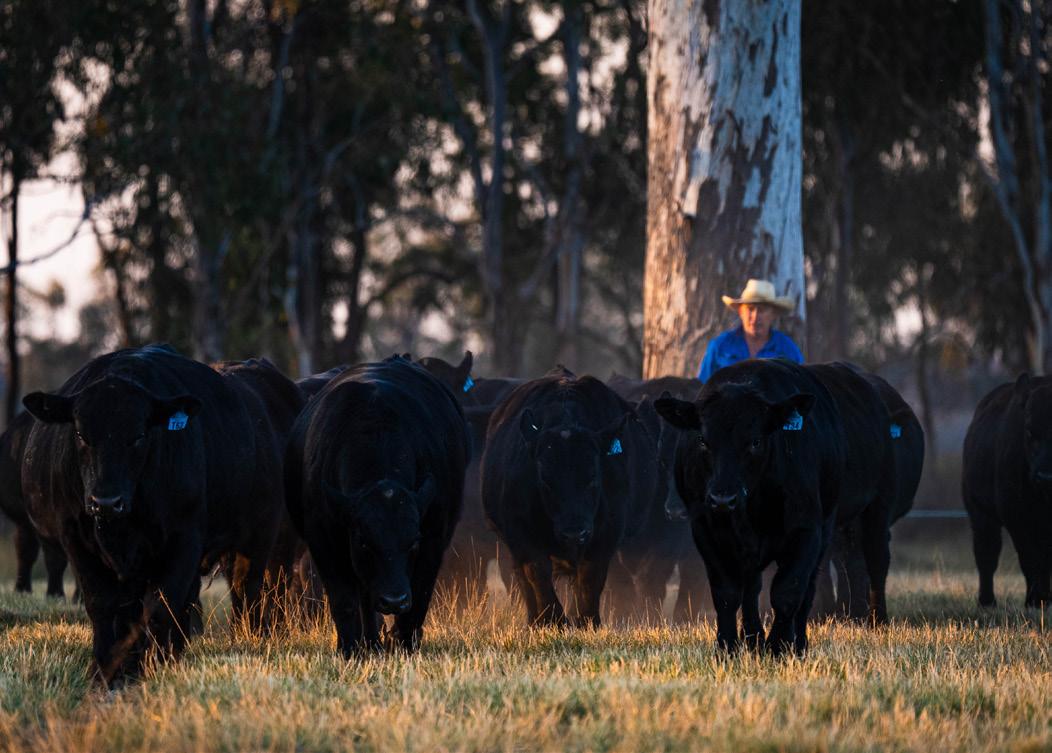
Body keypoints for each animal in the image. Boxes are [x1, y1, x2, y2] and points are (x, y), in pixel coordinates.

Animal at [21, 344, 288, 686]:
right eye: (80, 434)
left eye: (138, 436)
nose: (106, 501)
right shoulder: (76, 540)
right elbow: (102, 604)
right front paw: (104, 668)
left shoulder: (183, 538)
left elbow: (161, 606)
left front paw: (153, 664)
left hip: (257, 534)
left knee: (246, 589)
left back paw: (245, 638)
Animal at [284, 355, 470, 656]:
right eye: (364, 541)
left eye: (413, 541)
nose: (394, 600)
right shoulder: (324, 542)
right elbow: (344, 601)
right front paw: (349, 648)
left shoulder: (433, 540)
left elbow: (419, 599)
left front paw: (403, 643)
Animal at [482, 366, 657, 628]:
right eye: (545, 480)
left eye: (593, 477)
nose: (574, 532)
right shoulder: (521, 535)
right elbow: (536, 573)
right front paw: (552, 619)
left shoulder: (605, 535)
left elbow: (589, 578)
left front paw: (587, 621)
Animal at [655, 359, 895, 655]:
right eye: (702, 440)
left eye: (755, 441)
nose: (723, 499)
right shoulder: (705, 531)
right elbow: (727, 593)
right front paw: (728, 646)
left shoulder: (806, 530)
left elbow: (788, 591)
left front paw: (779, 646)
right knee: (752, 586)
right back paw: (753, 637)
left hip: (868, 511)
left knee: (863, 564)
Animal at [963, 373, 1052, 608]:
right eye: (1029, 430)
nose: (1045, 476)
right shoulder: (1016, 518)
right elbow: (1029, 558)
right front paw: (1035, 600)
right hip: (979, 512)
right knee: (986, 554)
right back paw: (987, 601)